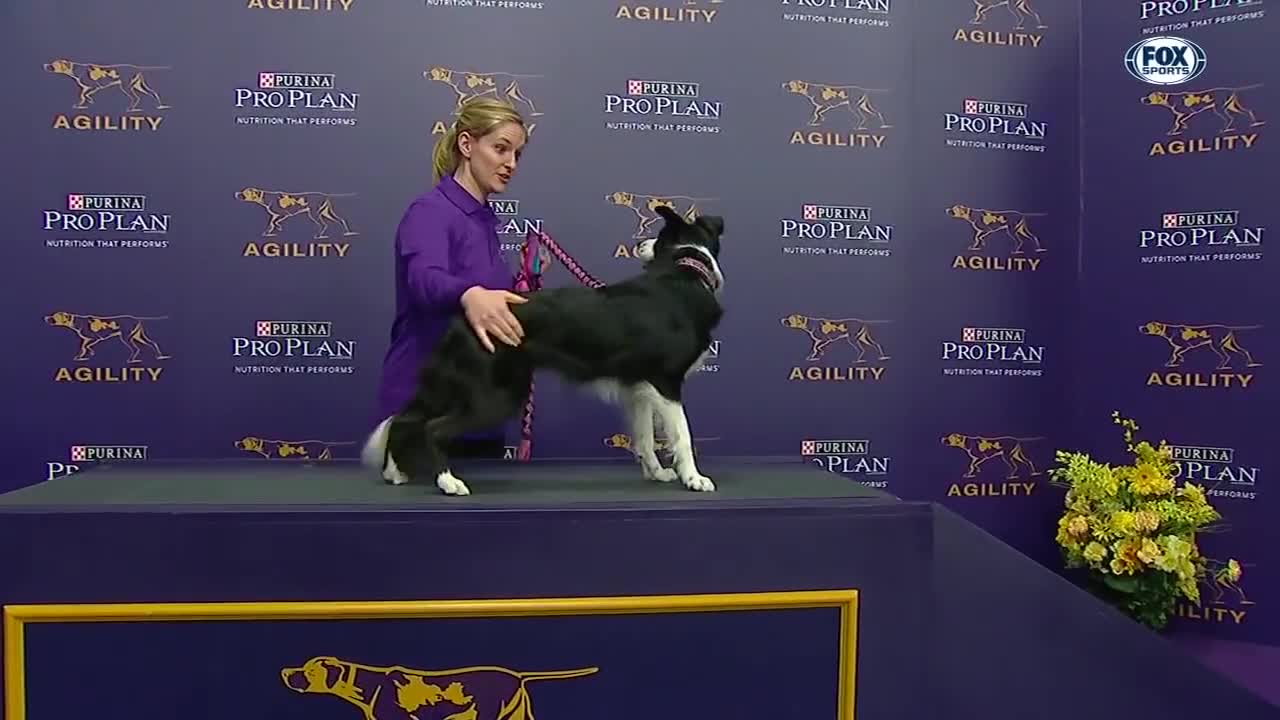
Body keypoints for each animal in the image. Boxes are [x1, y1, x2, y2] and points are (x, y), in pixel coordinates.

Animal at [360, 202, 727, 491]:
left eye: (659, 238)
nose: (640, 246)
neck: (686, 272)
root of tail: (463, 320)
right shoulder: (666, 380)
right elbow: (683, 434)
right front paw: (694, 479)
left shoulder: (637, 384)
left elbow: (645, 435)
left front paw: (657, 472)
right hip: (495, 395)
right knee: (432, 428)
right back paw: (448, 482)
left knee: (405, 418)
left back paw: (394, 472)